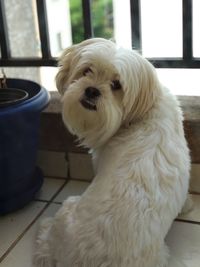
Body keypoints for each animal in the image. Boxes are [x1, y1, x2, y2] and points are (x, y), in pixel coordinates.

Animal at [34, 38, 191, 267]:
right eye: (87, 70)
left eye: (116, 85)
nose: (92, 90)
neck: (142, 113)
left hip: (67, 208)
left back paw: (44, 230)